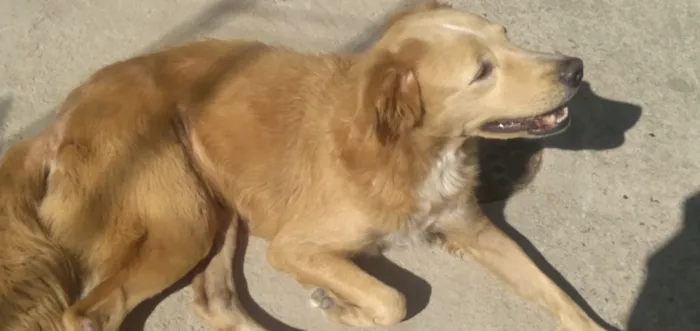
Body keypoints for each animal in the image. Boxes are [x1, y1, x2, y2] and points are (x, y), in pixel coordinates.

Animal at [0, 1, 608, 331]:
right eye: (482, 71)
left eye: (508, 38)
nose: (576, 68)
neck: (411, 149)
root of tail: (61, 117)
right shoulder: (294, 247)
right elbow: (393, 298)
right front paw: (341, 307)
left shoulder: (471, 227)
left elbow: (557, 292)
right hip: (182, 221)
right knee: (89, 314)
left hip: (212, 210)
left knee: (216, 301)